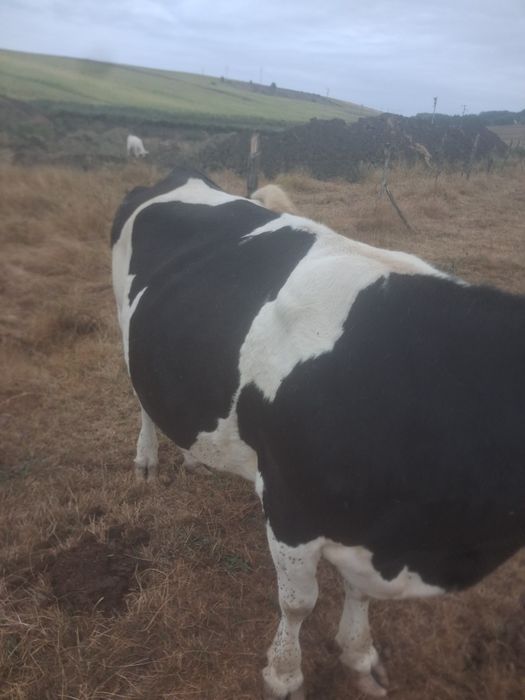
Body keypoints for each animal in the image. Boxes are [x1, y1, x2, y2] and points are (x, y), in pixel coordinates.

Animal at [111, 167, 525, 699]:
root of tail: (178, 175)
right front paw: (285, 674)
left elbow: (359, 595)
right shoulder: (290, 509)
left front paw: (359, 654)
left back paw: (195, 456)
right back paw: (146, 461)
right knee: (141, 396)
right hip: (127, 323)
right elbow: (298, 603)